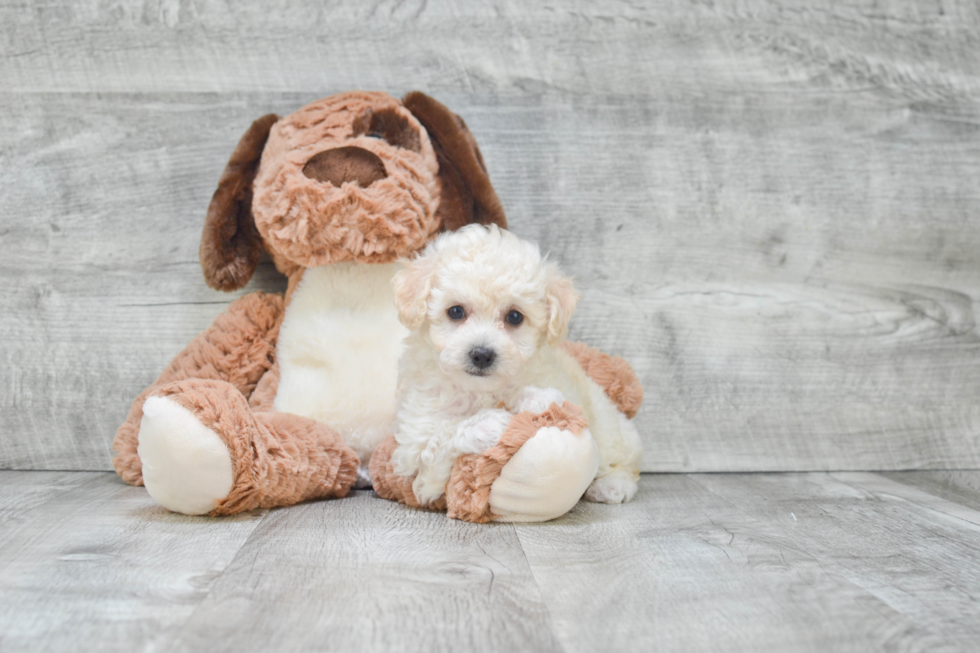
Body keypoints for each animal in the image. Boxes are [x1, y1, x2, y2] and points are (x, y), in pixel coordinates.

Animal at [386, 223, 648, 504]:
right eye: (455, 311)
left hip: (606, 423)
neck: (479, 390)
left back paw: (612, 485)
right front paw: (486, 424)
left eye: (514, 317)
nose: (482, 354)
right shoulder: (413, 449)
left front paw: (536, 398)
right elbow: (440, 438)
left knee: (620, 459)